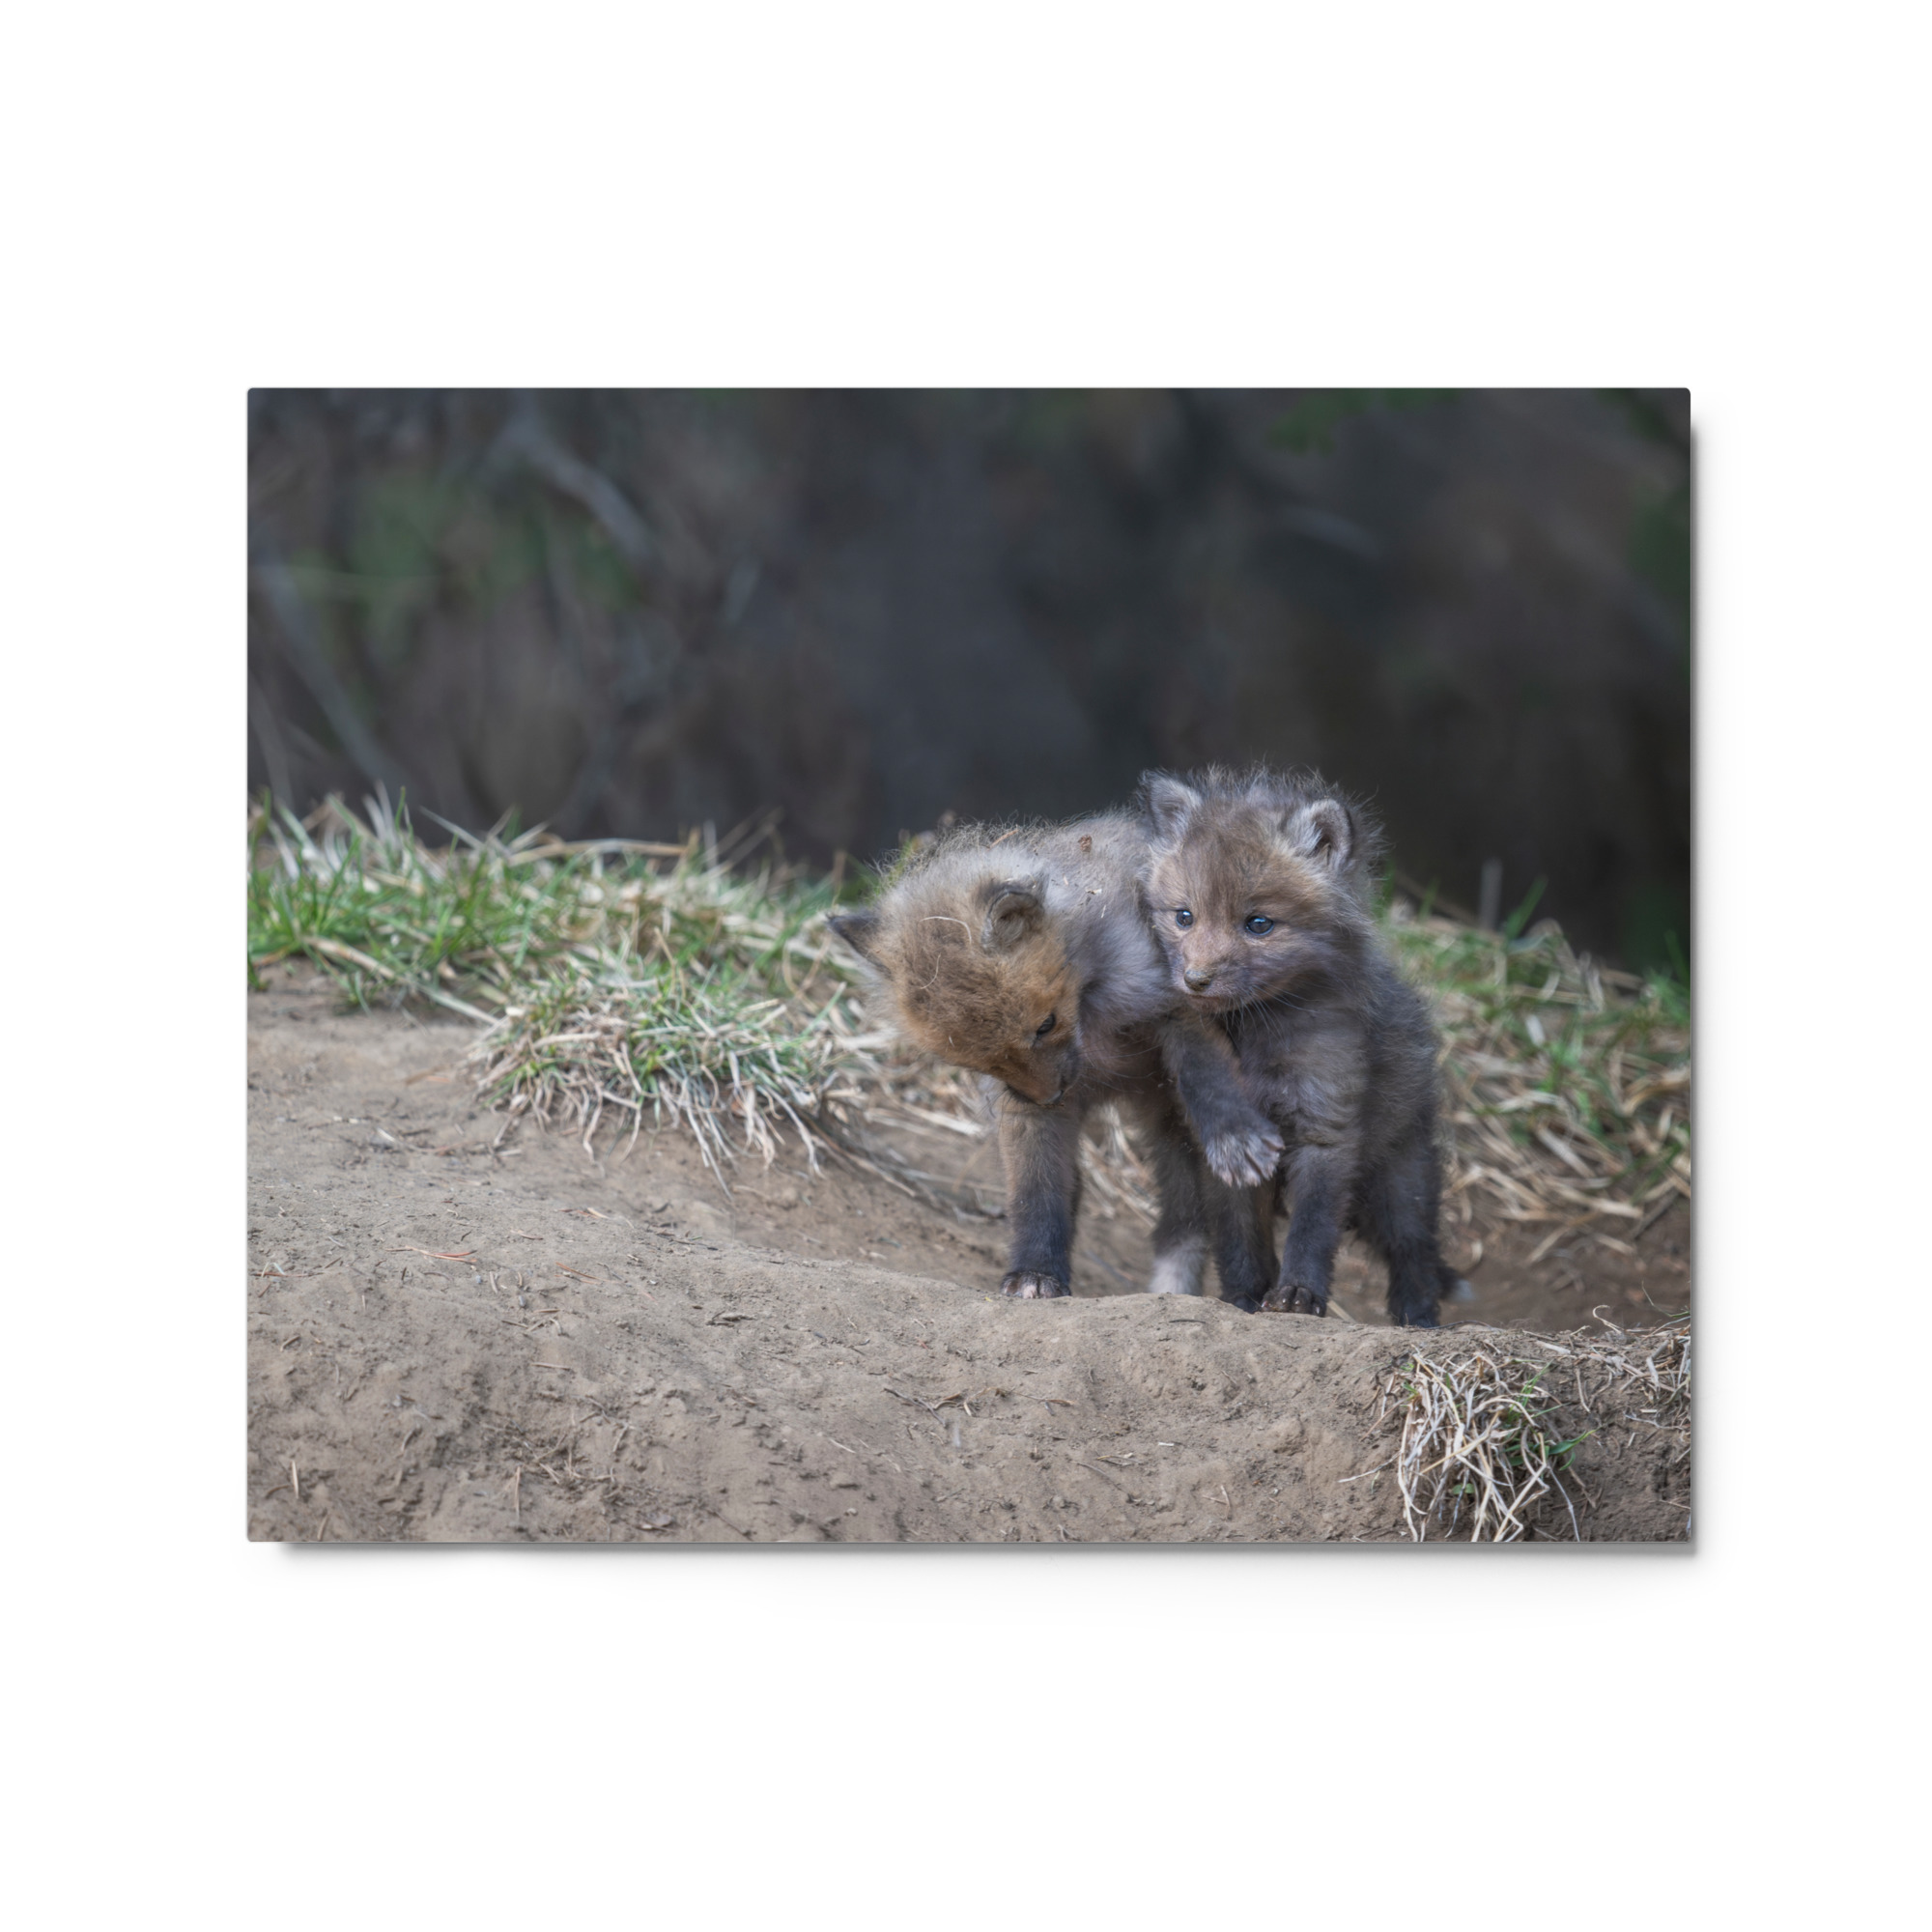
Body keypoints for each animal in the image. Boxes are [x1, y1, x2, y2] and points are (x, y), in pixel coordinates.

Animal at [827, 814, 1284, 1304]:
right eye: (979, 1062)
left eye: (1045, 1025)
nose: (1050, 1096)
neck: (1094, 1018)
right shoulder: (1021, 1107)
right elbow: (1036, 1192)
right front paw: (1035, 1272)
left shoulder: (1178, 1003)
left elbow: (1207, 1076)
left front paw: (1234, 1136)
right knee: (1178, 1221)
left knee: (1229, 1223)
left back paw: (1247, 1296)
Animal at [1139, 766, 1458, 1328]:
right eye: (1184, 917)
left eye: (1259, 924)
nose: (1195, 980)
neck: (1256, 1037)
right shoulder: (1226, 1150)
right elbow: (1240, 1238)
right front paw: (1243, 1298)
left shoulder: (1325, 1127)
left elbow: (1312, 1229)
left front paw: (1298, 1295)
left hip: (1400, 1178)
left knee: (1415, 1251)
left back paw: (1418, 1320)